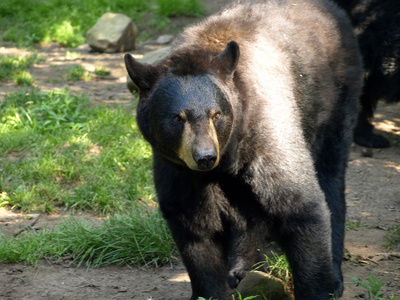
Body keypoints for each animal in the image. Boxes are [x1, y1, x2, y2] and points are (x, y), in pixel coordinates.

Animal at [124, 1, 362, 298]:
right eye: (177, 118)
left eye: (216, 114)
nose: (205, 157)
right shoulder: (177, 166)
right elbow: (192, 223)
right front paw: (210, 290)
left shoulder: (266, 132)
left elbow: (300, 205)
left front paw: (319, 288)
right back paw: (242, 267)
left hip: (334, 100)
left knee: (330, 174)